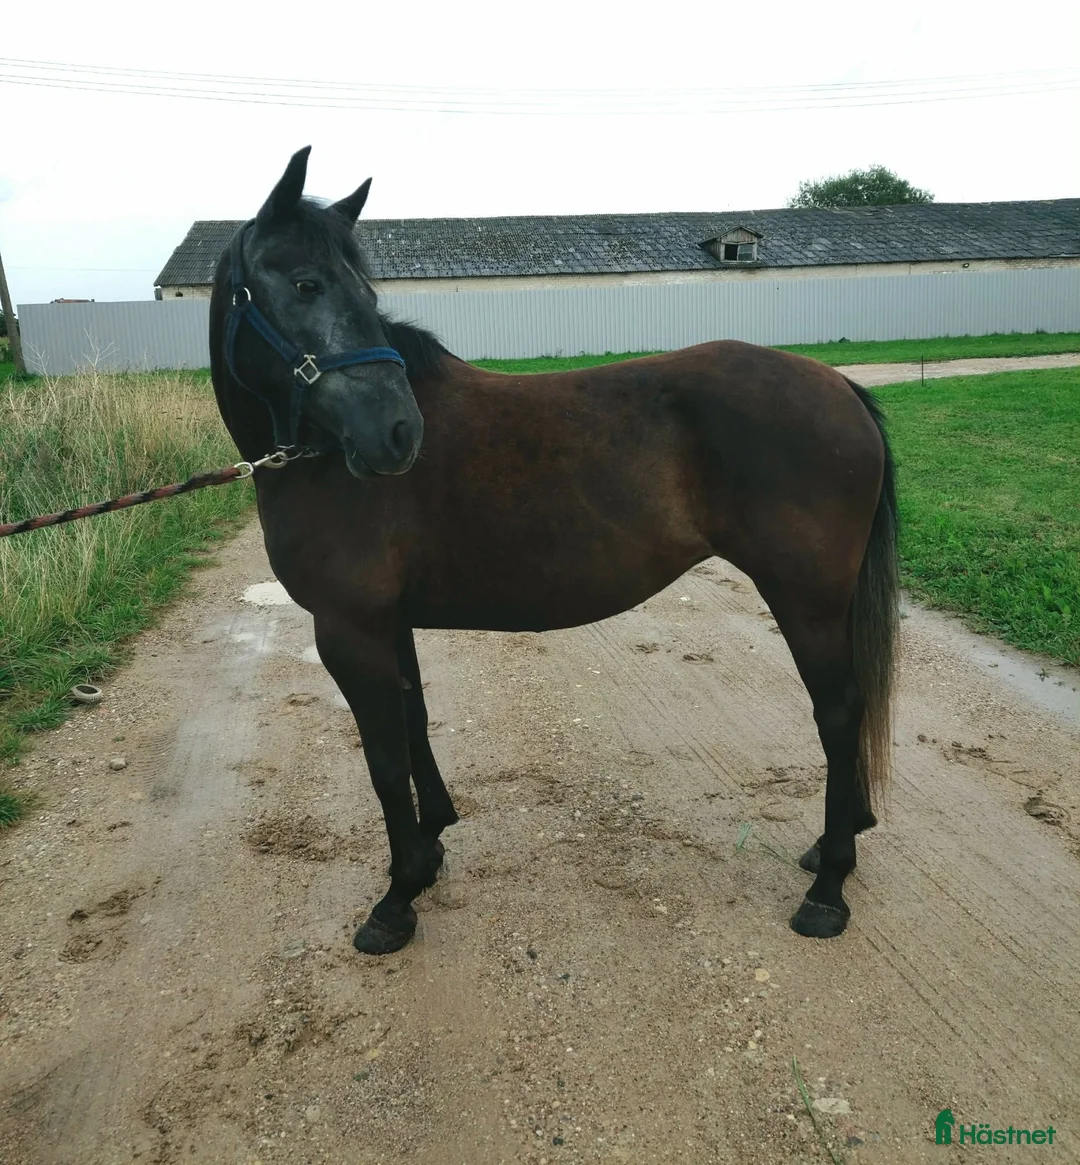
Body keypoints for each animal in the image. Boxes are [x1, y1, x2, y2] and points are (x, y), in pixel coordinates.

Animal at [209, 147, 899, 955]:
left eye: (359, 288)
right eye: (307, 283)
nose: (397, 434)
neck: (319, 454)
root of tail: (841, 389)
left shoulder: (348, 630)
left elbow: (383, 759)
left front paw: (398, 895)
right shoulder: (387, 624)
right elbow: (412, 725)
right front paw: (432, 846)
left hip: (806, 598)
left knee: (838, 712)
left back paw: (828, 888)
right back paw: (831, 846)